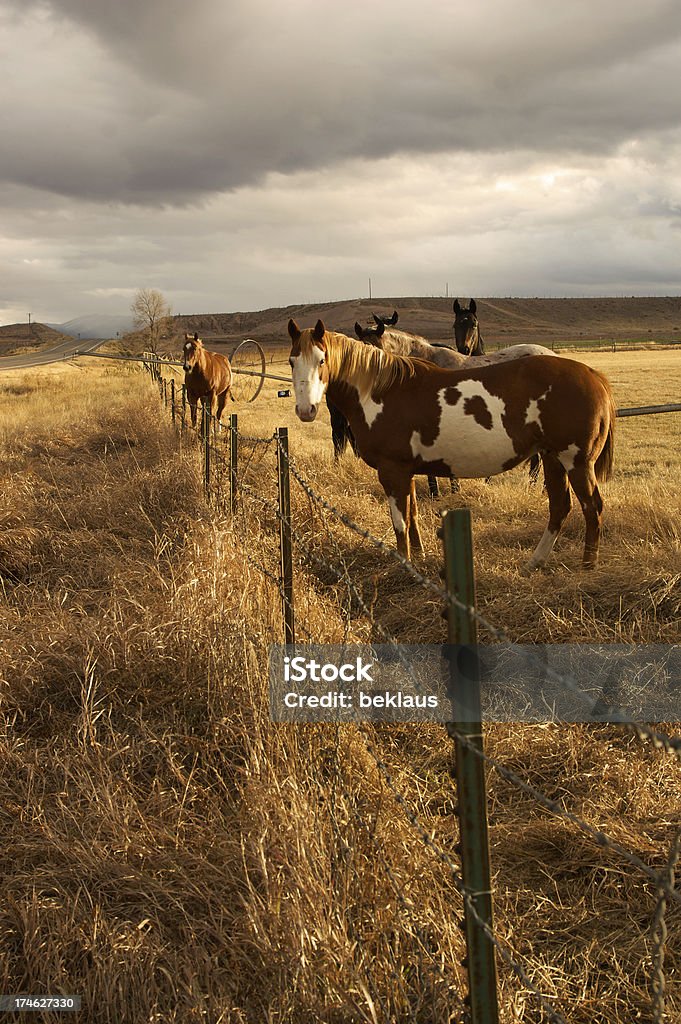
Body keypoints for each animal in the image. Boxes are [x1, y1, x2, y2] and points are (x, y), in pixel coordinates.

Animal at [286, 319, 614, 569]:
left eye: (322, 359)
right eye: (292, 361)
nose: (306, 410)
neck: (381, 391)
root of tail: (593, 375)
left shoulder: (391, 471)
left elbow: (400, 523)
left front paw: (404, 564)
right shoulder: (405, 471)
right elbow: (413, 516)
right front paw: (418, 557)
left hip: (576, 462)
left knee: (592, 507)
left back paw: (588, 566)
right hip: (552, 458)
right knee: (560, 507)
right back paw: (534, 563)